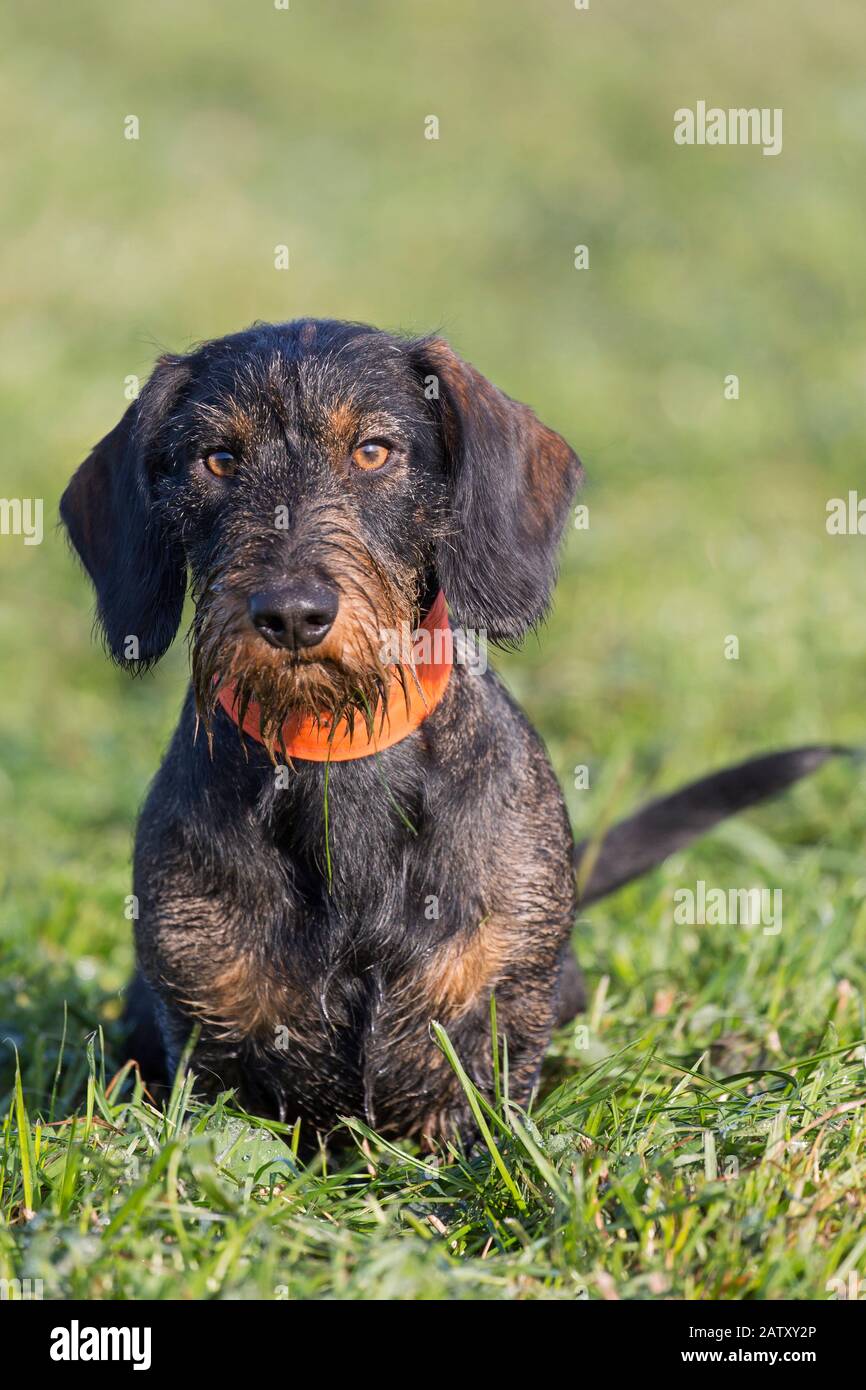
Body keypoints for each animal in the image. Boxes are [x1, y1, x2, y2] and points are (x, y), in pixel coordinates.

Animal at [59, 319, 839, 1145]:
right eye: (220, 459)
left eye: (373, 451)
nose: (293, 614)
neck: (337, 750)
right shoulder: (209, 1038)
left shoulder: (491, 1029)